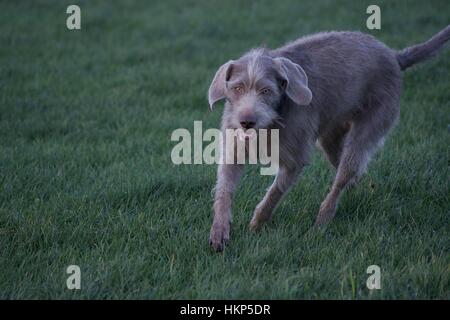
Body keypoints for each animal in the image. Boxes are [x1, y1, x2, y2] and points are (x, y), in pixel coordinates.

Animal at [207, 25, 450, 251]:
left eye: (266, 91)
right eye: (237, 88)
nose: (246, 121)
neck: (271, 123)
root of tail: (394, 55)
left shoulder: (295, 159)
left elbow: (276, 191)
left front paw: (258, 221)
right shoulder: (233, 149)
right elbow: (224, 189)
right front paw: (219, 230)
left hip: (371, 124)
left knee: (345, 172)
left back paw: (321, 222)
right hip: (331, 137)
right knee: (350, 171)